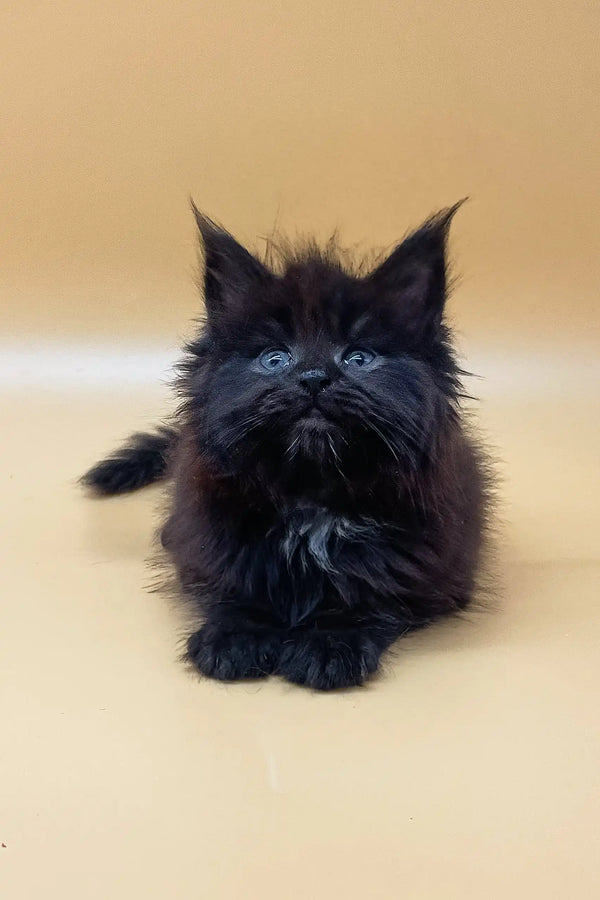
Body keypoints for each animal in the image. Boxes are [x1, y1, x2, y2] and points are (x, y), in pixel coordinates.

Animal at [85, 202, 496, 688]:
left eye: (358, 358)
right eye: (274, 359)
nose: (314, 378)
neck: (313, 496)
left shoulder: (425, 554)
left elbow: (367, 587)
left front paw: (329, 642)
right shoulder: (211, 530)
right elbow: (237, 583)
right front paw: (238, 636)